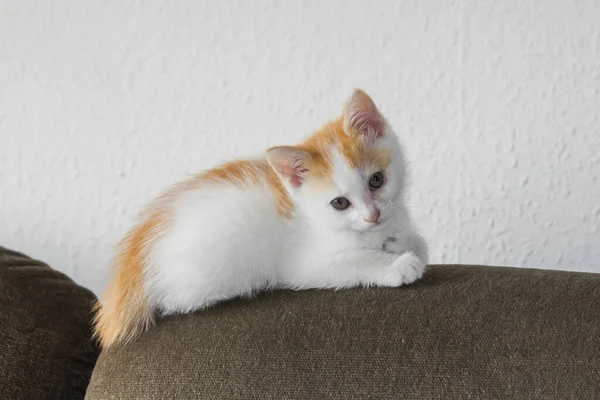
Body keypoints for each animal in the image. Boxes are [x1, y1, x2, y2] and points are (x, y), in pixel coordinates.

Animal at [94, 90, 426, 346]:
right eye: (340, 203)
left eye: (377, 180)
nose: (373, 215)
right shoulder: (302, 264)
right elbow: (355, 260)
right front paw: (396, 265)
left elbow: (419, 242)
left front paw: (400, 243)